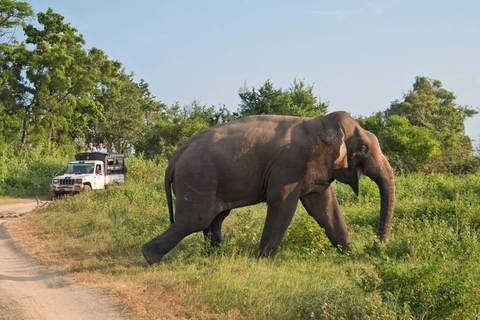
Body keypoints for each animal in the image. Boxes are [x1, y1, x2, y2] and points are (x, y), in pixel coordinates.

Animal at [141, 111, 396, 264]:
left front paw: (350, 255)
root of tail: (175, 156)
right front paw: (261, 260)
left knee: (214, 219)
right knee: (195, 220)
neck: (317, 122)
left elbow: (324, 207)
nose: (374, 250)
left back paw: (217, 254)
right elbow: (283, 205)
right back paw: (149, 257)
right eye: (363, 149)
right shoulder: (289, 165)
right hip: (198, 177)